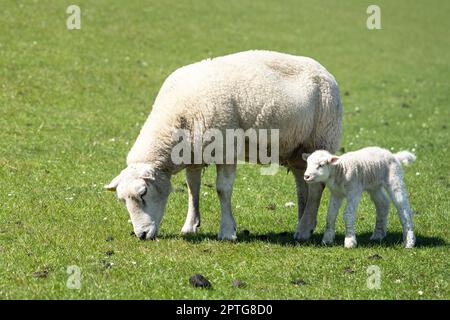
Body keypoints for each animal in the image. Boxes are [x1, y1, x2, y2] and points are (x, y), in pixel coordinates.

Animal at [105, 49, 342, 240]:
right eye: (122, 200)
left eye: (143, 193)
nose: (142, 235)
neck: (177, 118)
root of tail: (325, 71)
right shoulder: (193, 154)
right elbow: (192, 188)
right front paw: (190, 225)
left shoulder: (226, 149)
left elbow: (222, 190)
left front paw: (227, 231)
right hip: (296, 149)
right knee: (303, 183)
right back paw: (305, 223)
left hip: (321, 137)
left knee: (316, 186)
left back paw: (303, 230)